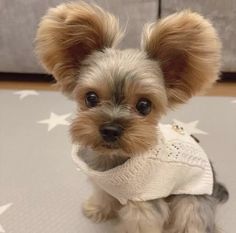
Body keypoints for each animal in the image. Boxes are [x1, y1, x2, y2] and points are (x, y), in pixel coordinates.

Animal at [35, 2, 229, 233]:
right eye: (91, 98)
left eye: (144, 105)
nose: (110, 129)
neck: (113, 160)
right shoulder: (104, 186)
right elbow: (103, 196)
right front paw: (97, 209)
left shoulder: (143, 204)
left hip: (191, 199)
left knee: (191, 218)